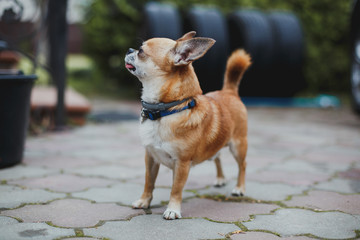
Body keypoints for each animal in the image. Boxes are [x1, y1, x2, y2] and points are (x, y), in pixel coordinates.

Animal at [125, 31, 252, 219]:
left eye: (141, 51)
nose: (129, 49)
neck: (165, 111)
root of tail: (229, 91)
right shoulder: (151, 158)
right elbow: (149, 182)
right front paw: (144, 201)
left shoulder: (182, 163)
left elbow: (176, 188)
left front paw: (172, 209)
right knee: (218, 156)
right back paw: (220, 179)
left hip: (238, 145)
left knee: (242, 165)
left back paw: (240, 188)